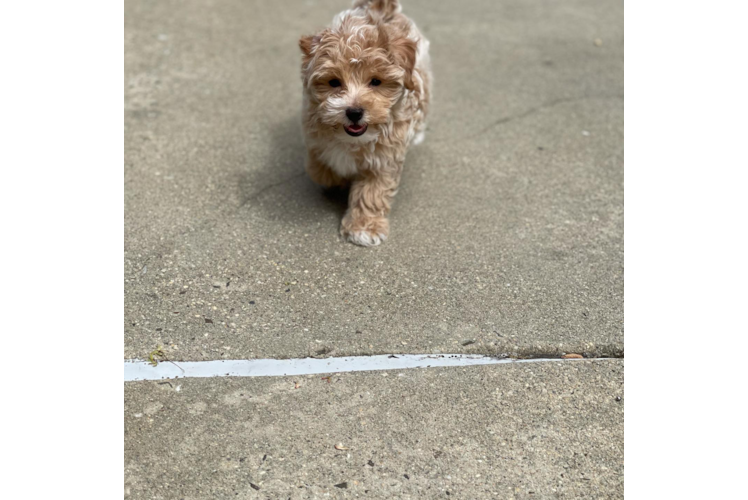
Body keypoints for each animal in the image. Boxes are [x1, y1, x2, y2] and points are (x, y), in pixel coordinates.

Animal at [296, 0, 430, 246]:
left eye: (376, 81)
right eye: (334, 82)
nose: (354, 112)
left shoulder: (384, 158)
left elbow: (372, 192)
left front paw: (363, 227)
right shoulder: (313, 134)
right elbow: (318, 167)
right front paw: (335, 178)